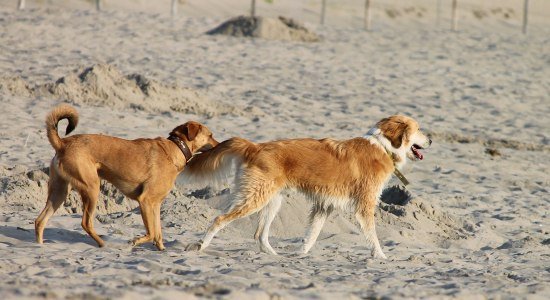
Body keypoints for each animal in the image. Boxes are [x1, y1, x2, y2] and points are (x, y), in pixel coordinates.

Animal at [33, 104, 220, 250]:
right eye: (210, 135)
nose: (219, 145)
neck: (175, 148)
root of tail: (63, 143)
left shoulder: (155, 204)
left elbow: (158, 232)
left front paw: (161, 249)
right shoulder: (146, 201)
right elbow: (151, 232)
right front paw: (135, 241)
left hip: (59, 191)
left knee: (40, 221)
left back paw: (40, 247)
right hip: (92, 187)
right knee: (86, 223)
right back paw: (102, 244)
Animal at [183, 115, 434, 258]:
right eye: (419, 129)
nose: (431, 140)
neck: (383, 146)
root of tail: (254, 146)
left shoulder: (324, 206)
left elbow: (311, 236)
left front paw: (300, 255)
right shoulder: (364, 206)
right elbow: (372, 235)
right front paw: (381, 256)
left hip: (271, 200)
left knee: (260, 235)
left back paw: (275, 256)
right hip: (255, 198)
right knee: (219, 220)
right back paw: (201, 246)